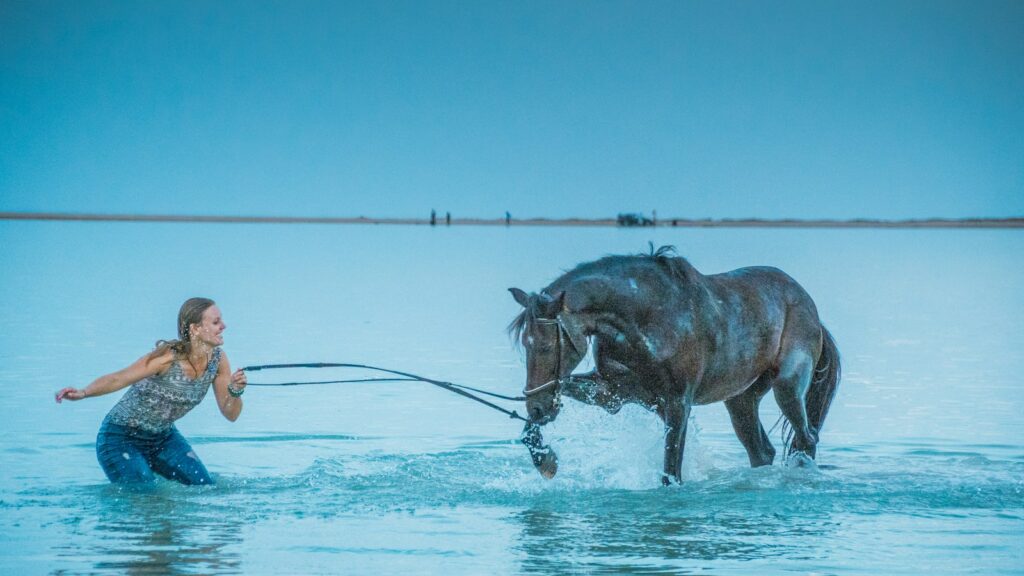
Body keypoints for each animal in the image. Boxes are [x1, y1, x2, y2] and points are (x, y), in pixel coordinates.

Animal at [509, 246, 840, 485]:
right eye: (524, 344)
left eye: (546, 346)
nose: (536, 407)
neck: (644, 317)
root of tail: (808, 303)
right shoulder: (612, 393)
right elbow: (549, 405)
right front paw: (546, 461)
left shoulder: (678, 402)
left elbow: (671, 473)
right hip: (741, 399)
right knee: (763, 451)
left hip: (788, 386)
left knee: (806, 438)